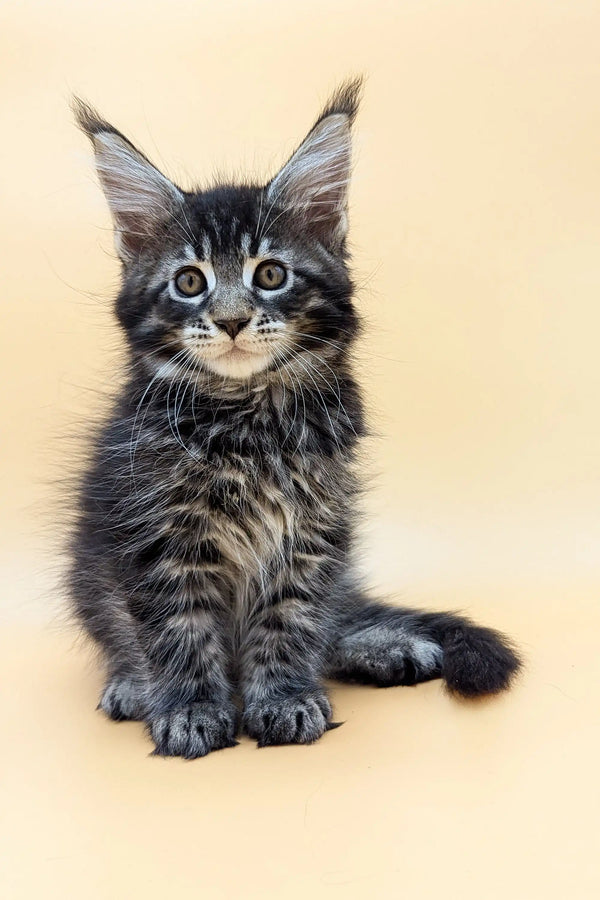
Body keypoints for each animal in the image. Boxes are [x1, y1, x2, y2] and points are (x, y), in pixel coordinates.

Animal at [69, 79, 520, 760]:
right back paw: (131, 685)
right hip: (89, 571)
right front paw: (190, 709)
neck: (246, 418)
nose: (231, 319)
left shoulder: (312, 528)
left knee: (335, 621)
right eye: (189, 282)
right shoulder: (156, 535)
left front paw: (283, 698)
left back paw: (385, 648)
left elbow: (292, 620)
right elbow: (179, 627)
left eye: (271, 274)